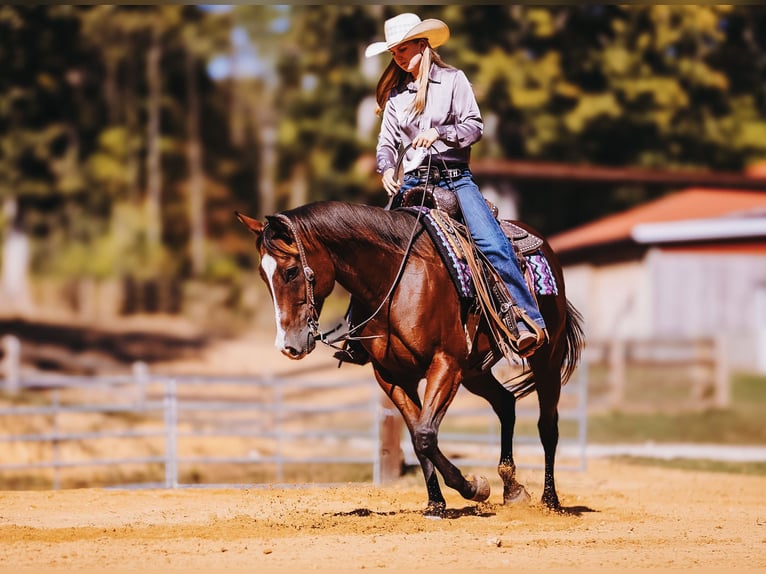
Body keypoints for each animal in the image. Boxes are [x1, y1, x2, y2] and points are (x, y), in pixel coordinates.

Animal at [237, 201, 584, 515]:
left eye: (292, 270)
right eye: (263, 275)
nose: (288, 346)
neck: (395, 283)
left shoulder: (445, 365)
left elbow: (426, 435)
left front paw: (473, 487)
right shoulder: (393, 376)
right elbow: (418, 436)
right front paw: (436, 503)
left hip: (546, 359)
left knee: (547, 425)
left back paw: (550, 501)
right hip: (475, 372)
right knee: (505, 404)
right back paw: (512, 488)